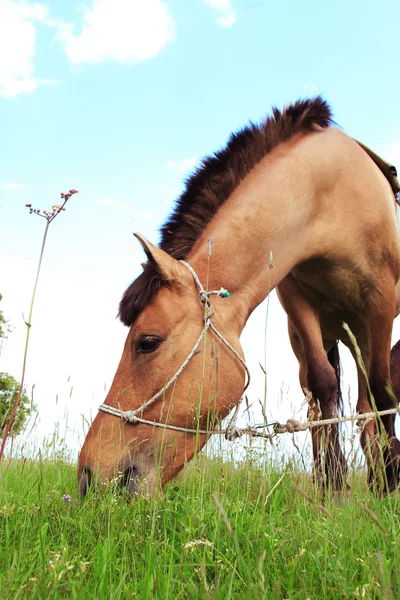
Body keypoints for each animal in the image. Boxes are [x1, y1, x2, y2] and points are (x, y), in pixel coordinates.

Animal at [78, 96, 400, 494]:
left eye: (147, 342)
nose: (88, 477)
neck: (329, 193)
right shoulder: (297, 302)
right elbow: (323, 385)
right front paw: (333, 486)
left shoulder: (380, 302)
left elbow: (383, 393)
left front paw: (388, 480)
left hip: (363, 330)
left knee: (369, 401)